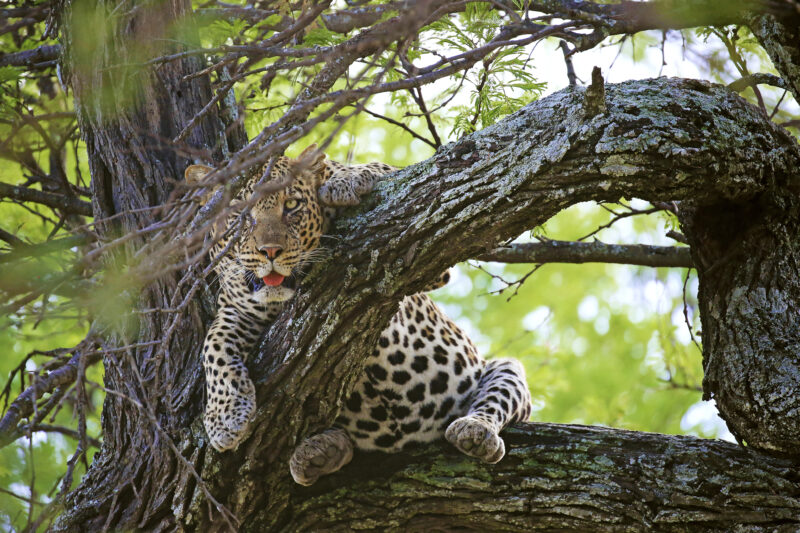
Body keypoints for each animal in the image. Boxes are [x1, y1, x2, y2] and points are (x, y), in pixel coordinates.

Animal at [186, 146, 532, 486]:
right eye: (239, 216)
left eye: (292, 205)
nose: (270, 252)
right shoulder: (238, 308)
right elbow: (213, 344)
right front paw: (225, 417)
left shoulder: (434, 267)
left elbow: (377, 167)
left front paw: (345, 182)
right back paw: (317, 452)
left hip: (503, 370)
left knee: (495, 402)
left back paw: (475, 432)